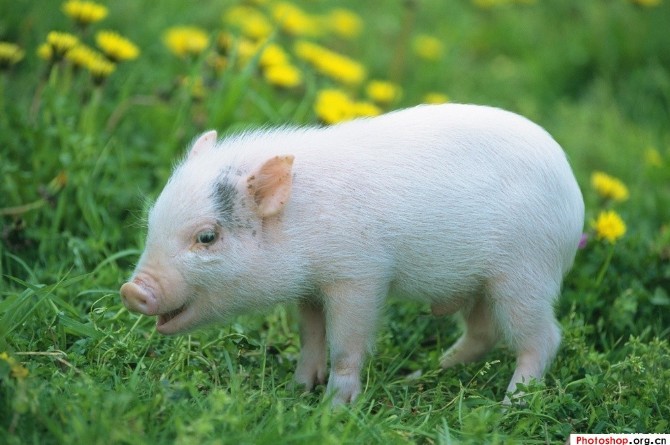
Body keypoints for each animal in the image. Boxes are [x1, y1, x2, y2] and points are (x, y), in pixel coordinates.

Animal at [120, 104, 584, 405]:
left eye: (207, 237)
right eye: (153, 222)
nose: (131, 291)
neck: (300, 223)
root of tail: (573, 196)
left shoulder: (359, 275)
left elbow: (346, 343)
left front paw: (334, 407)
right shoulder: (309, 286)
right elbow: (311, 335)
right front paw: (298, 389)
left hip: (526, 272)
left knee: (543, 337)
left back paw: (511, 404)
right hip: (481, 283)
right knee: (483, 332)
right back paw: (428, 372)